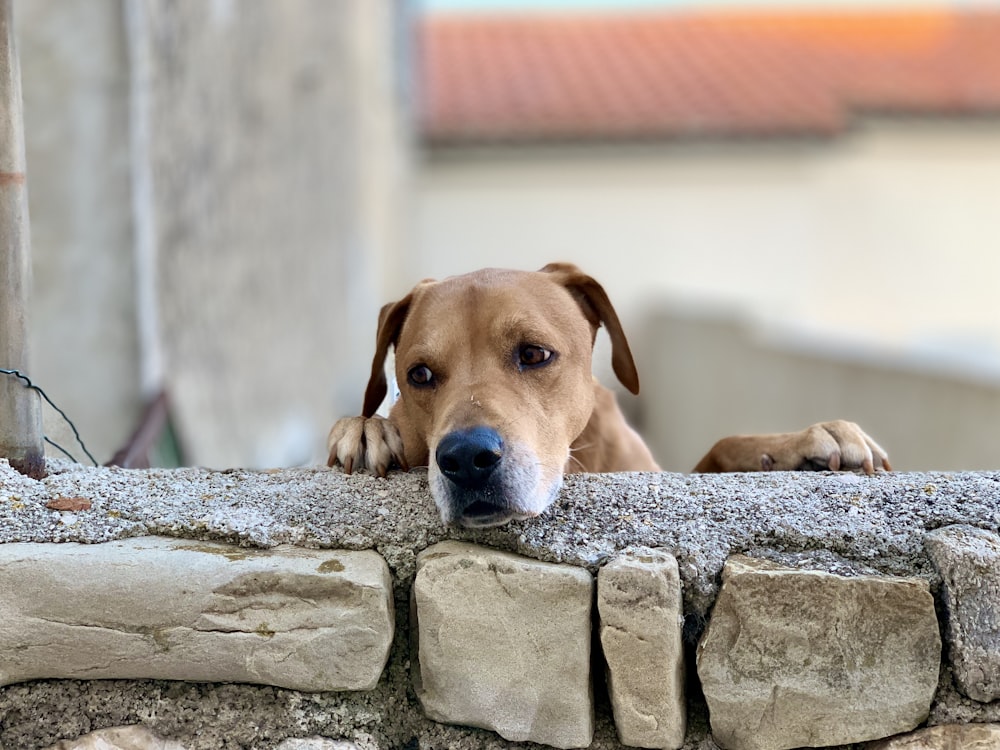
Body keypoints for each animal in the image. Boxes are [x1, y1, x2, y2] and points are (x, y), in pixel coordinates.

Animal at [328, 264, 892, 528]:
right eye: (420, 374)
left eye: (534, 354)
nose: (466, 458)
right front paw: (367, 428)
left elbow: (720, 448)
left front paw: (799, 444)